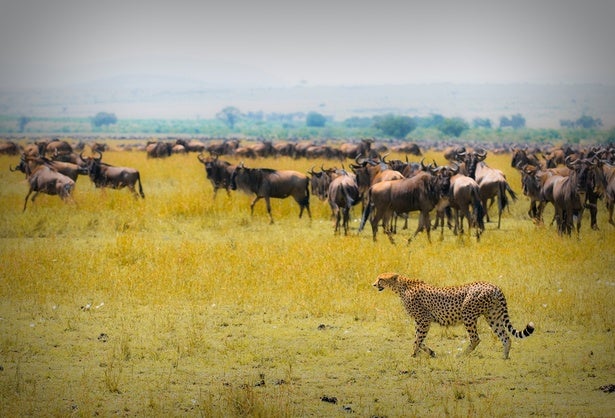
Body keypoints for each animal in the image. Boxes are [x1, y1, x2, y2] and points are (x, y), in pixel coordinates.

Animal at [370, 272, 536, 358]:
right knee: (505, 337)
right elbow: (418, 338)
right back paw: (504, 357)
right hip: (493, 316)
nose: (373, 284)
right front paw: (430, 352)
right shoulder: (421, 321)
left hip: (468, 314)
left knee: (475, 338)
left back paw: (461, 355)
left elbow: (417, 339)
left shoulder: (423, 319)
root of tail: (493, 285)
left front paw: (413, 354)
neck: (402, 287)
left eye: (380, 279)